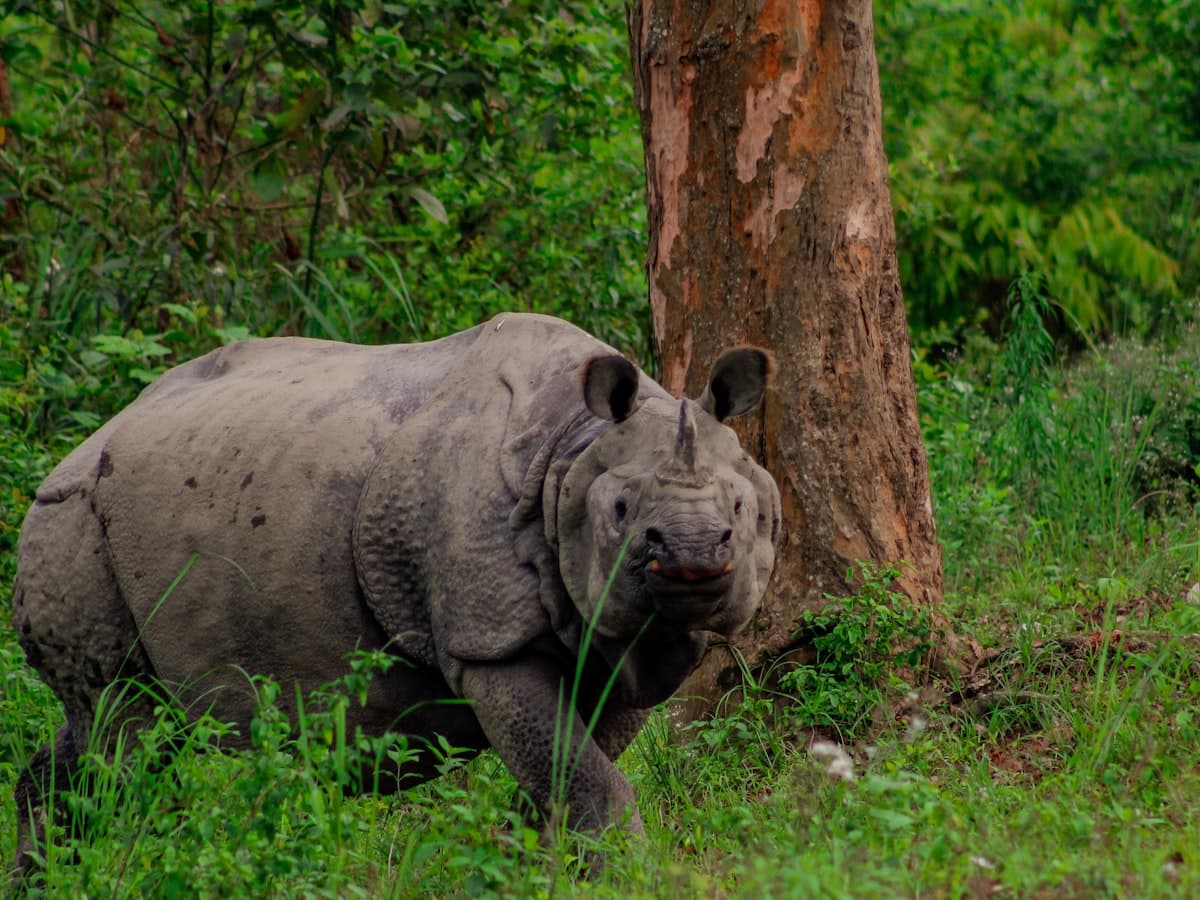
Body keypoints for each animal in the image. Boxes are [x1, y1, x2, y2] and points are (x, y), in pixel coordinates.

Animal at [11, 312, 780, 871]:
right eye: (621, 512)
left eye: (741, 510)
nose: (690, 556)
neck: (573, 452)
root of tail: (83, 445)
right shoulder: (486, 644)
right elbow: (587, 781)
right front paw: (624, 875)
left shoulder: (626, 644)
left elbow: (568, 780)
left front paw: (524, 868)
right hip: (71, 519)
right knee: (126, 734)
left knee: (106, 727)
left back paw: (43, 875)